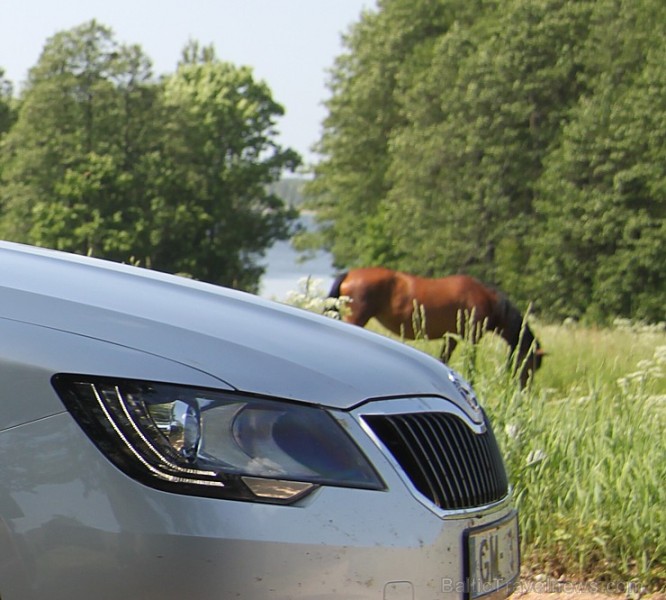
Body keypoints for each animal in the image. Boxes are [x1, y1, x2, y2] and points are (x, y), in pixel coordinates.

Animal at [330, 266, 544, 386]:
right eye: (531, 364)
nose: (525, 389)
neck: (488, 300)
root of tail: (349, 274)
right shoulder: (472, 337)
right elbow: (470, 363)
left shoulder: (451, 337)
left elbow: (444, 359)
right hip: (355, 318)